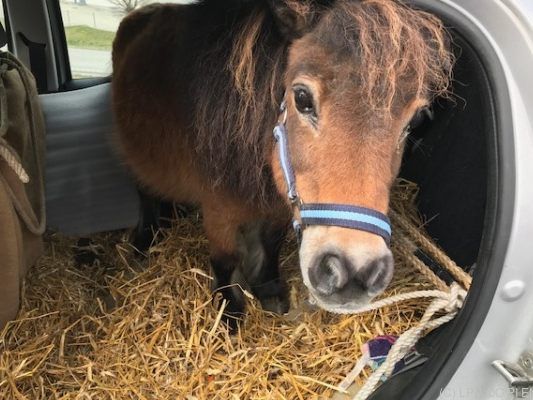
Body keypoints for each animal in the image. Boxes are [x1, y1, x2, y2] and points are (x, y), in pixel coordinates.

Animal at [112, 0, 454, 318]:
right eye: (301, 98)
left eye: (416, 119)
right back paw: (144, 242)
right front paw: (230, 312)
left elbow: (269, 245)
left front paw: (269, 291)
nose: (354, 271)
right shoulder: (218, 209)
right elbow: (225, 259)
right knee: (145, 192)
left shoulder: (279, 205)